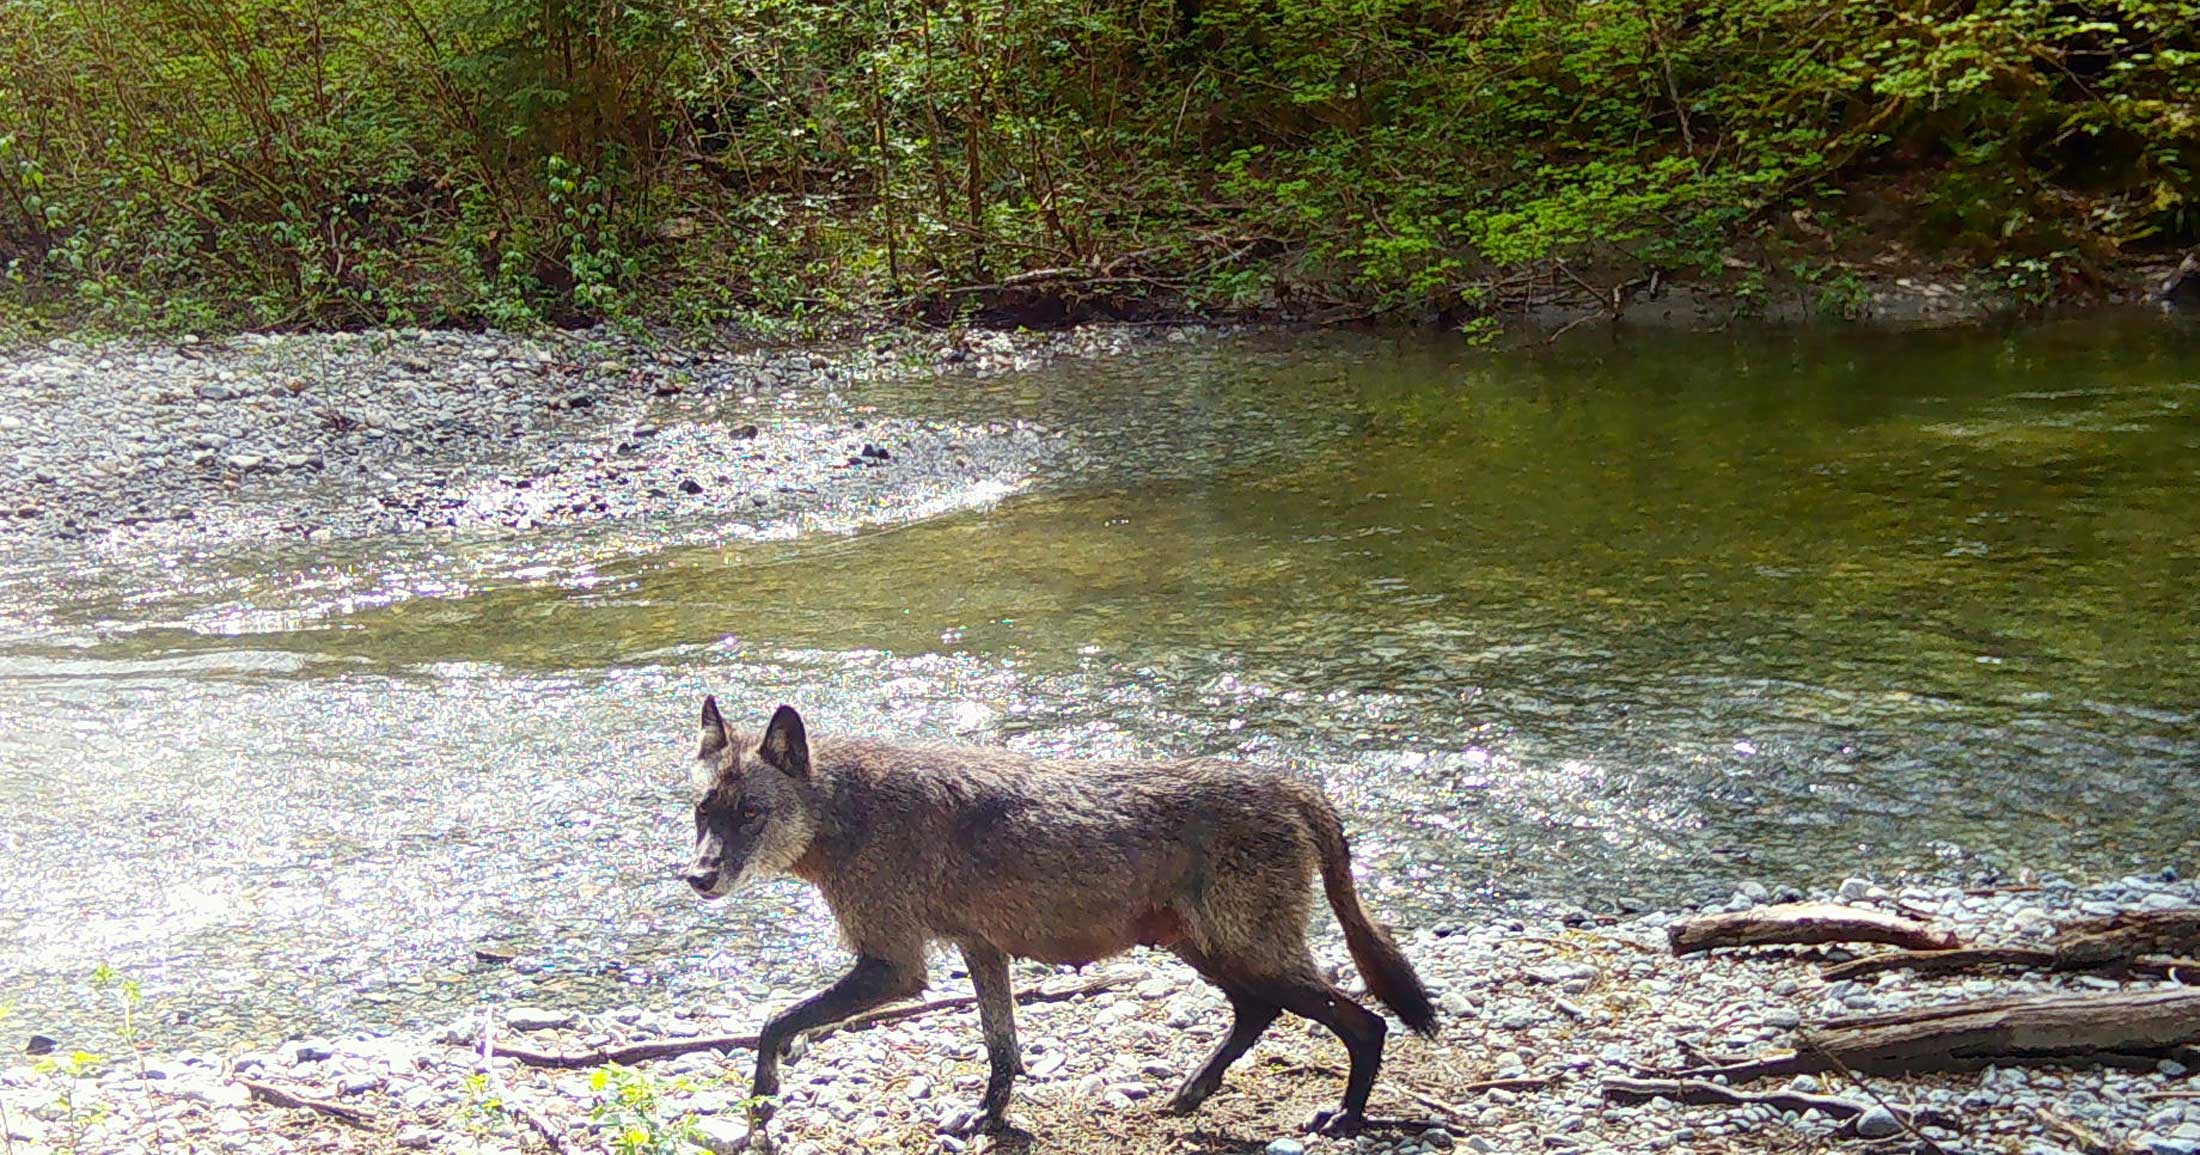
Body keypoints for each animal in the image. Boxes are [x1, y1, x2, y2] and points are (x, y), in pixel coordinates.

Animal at [684, 698, 1438, 1141]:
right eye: (703, 812)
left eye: (750, 813)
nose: (697, 877)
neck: (847, 810)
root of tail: (1297, 787)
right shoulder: (980, 949)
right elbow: (1002, 1049)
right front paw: (987, 1118)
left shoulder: (895, 970)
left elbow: (773, 1023)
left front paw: (763, 1101)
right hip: (1210, 952)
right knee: (1260, 1013)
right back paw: (1189, 1094)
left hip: (1247, 954)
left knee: (1363, 1023)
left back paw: (1344, 1117)